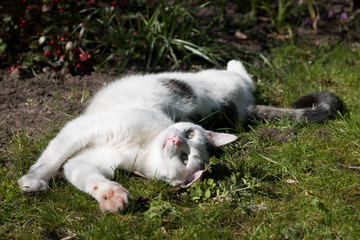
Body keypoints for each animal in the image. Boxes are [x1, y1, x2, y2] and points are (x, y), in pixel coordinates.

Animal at [17, 60, 344, 212]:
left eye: (186, 157)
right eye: (188, 133)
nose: (176, 140)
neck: (140, 148)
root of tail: (244, 108)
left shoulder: (88, 157)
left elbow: (84, 174)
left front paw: (113, 197)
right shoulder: (86, 128)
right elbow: (53, 157)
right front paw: (34, 179)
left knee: (242, 76)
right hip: (214, 80)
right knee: (243, 75)